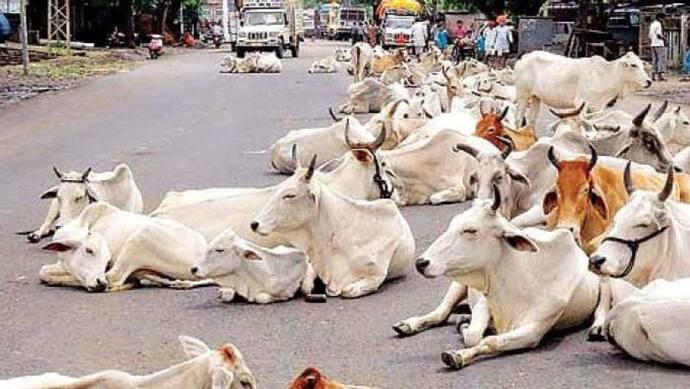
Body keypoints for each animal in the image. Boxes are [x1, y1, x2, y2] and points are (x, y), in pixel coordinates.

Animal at [39, 203, 210, 292]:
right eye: (89, 250)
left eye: (107, 260)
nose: (100, 284)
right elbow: (44, 271)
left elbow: (44, 272)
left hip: (140, 238)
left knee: (114, 277)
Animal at [512, 50, 652, 126]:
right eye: (633, 65)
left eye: (642, 65)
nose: (649, 81)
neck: (605, 75)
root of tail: (523, 58)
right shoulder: (581, 104)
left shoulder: (597, 108)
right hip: (523, 95)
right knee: (518, 119)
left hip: (536, 97)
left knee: (531, 121)